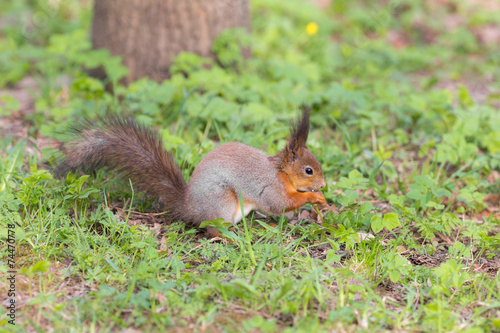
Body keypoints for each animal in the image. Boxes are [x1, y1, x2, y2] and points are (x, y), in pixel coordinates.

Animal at [55, 110, 328, 235]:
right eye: (309, 170)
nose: (324, 185)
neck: (281, 171)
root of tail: (188, 207)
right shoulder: (270, 186)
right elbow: (280, 204)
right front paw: (314, 197)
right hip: (222, 202)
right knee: (211, 230)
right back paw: (229, 237)